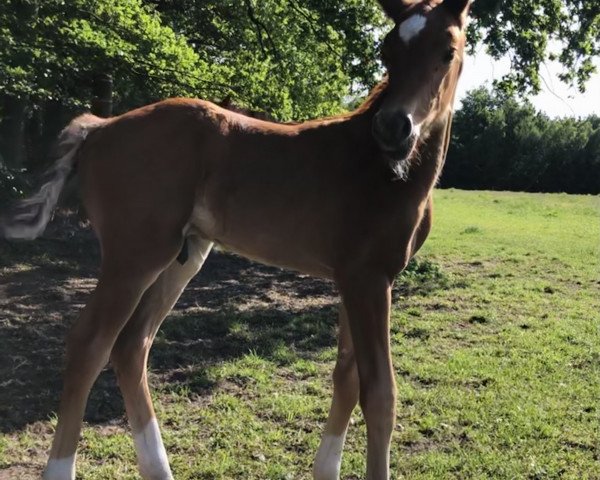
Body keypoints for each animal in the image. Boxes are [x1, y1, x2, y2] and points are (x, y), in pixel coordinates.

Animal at [0, 0, 472, 476]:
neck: (384, 171)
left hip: (184, 255)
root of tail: (99, 126)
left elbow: (346, 376)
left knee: (132, 347)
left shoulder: (356, 280)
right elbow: (379, 393)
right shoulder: (369, 280)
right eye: (386, 51)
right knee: (89, 345)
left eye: (447, 51)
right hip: (135, 254)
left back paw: (160, 469)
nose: (394, 128)